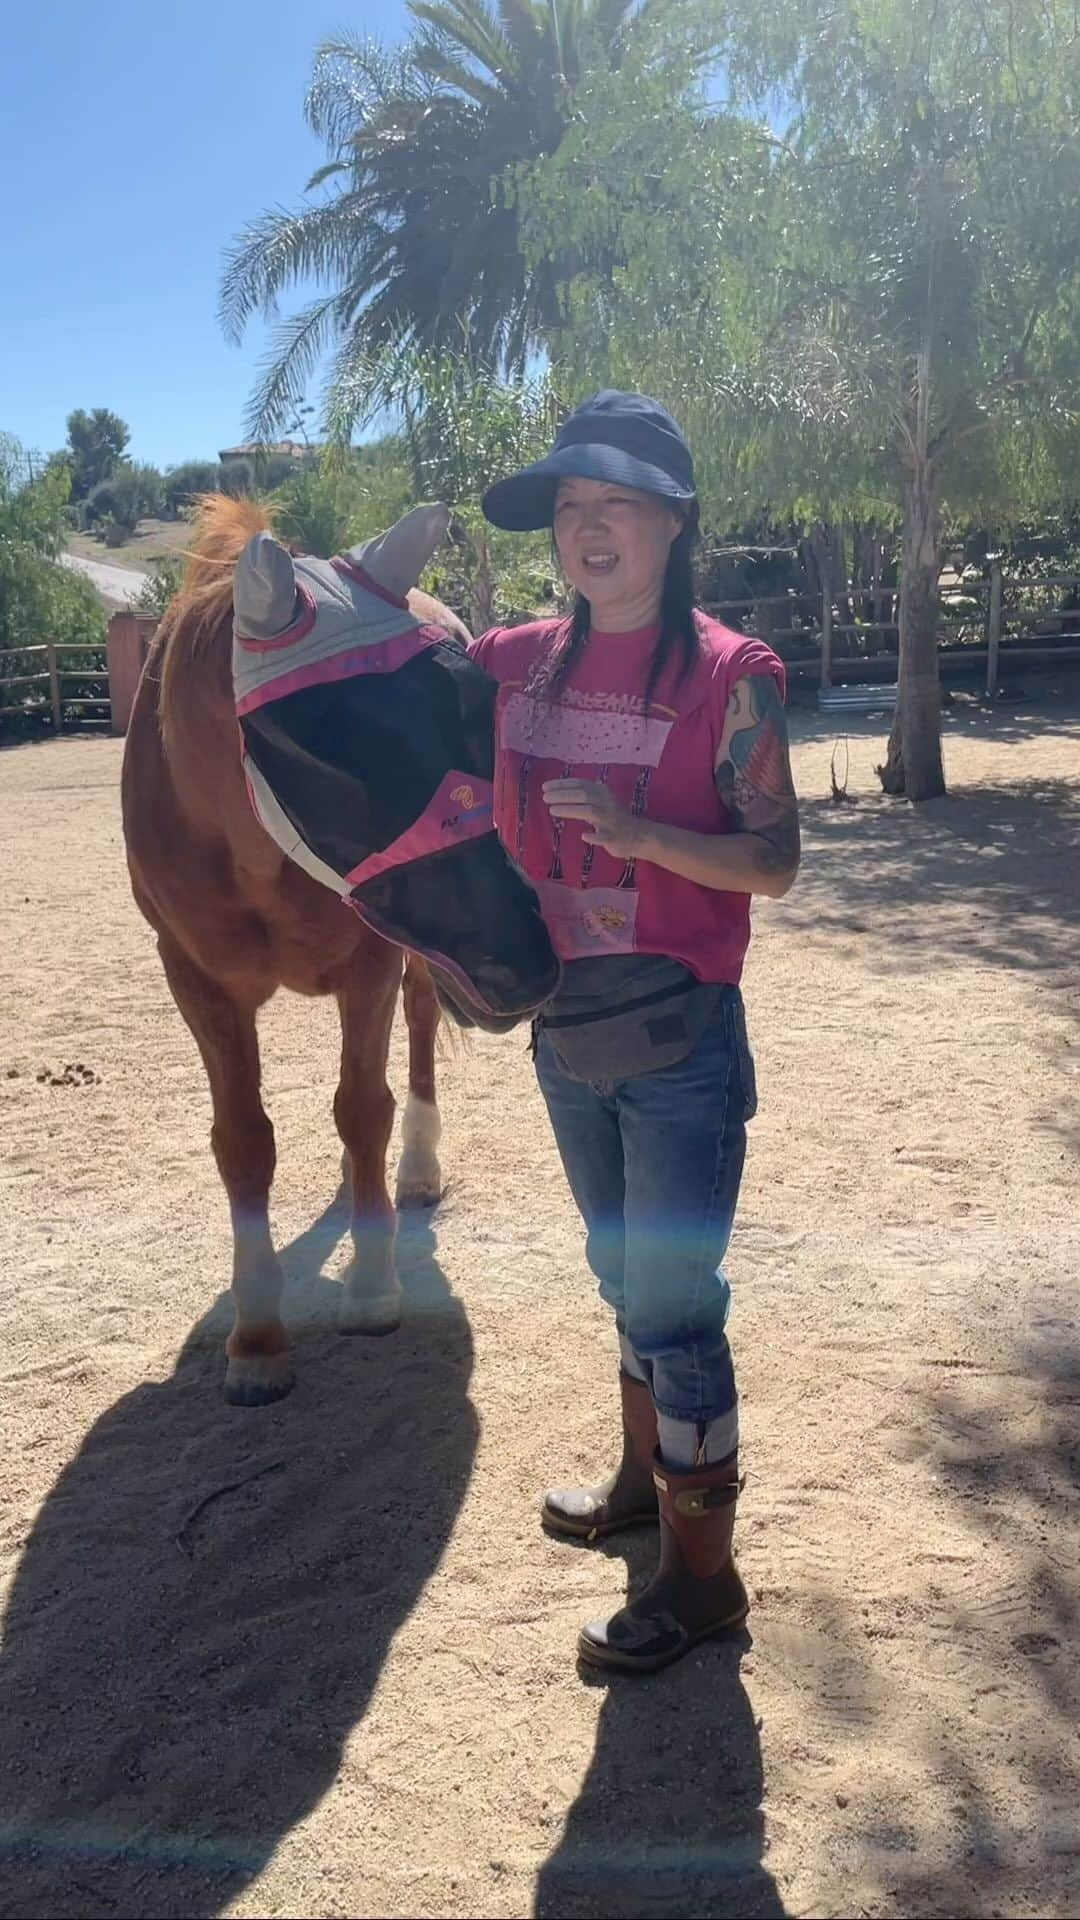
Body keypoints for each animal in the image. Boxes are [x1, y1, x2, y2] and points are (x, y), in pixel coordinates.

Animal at [121, 495, 484, 1413]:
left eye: (464, 699)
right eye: (325, 747)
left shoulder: (371, 963)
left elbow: (364, 1108)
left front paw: (372, 1287)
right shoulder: (196, 982)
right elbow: (243, 1141)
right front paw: (256, 1340)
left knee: (413, 1046)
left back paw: (412, 1173)